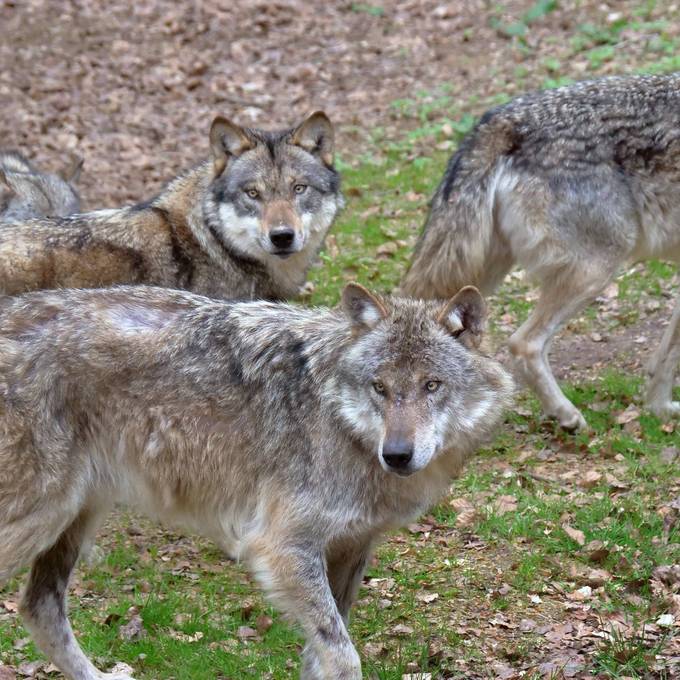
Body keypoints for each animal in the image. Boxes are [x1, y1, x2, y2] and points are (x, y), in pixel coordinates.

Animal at [0, 282, 510, 680]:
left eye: (432, 385)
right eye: (379, 387)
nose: (397, 454)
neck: (340, 423)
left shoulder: (350, 546)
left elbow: (321, 655)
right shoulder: (283, 547)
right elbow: (344, 657)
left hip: (74, 519)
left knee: (39, 609)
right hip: (40, 520)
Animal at [402, 73, 680, 430]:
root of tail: (500, 119)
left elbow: (666, 357)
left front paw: (660, 409)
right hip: (595, 271)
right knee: (523, 344)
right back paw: (567, 416)